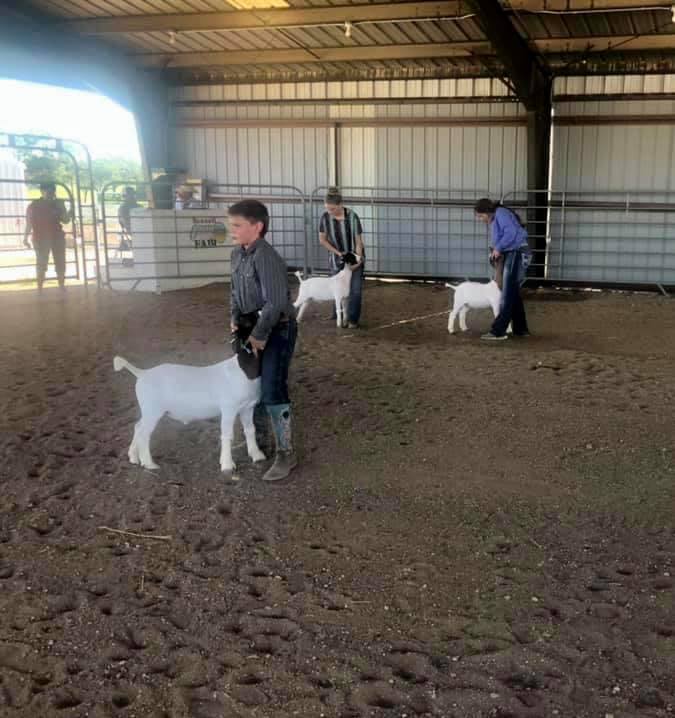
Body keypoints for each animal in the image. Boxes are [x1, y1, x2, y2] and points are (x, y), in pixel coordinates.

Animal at [113, 325, 264, 473]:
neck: (243, 371)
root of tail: (142, 373)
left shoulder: (247, 407)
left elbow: (250, 429)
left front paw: (257, 455)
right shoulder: (229, 408)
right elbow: (227, 435)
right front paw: (227, 465)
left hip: (148, 410)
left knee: (138, 427)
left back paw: (133, 457)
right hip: (152, 410)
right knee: (144, 433)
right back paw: (149, 464)